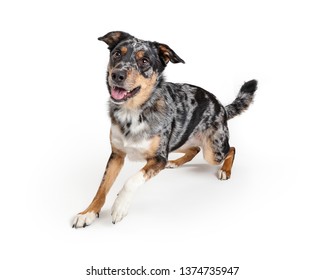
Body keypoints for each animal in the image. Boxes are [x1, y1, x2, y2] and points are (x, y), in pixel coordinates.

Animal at [72, 30, 256, 228]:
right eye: (117, 54)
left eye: (144, 61)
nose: (117, 75)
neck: (133, 112)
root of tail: (221, 106)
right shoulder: (117, 155)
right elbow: (102, 188)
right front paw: (88, 213)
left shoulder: (158, 158)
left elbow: (131, 180)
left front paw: (120, 205)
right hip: (181, 140)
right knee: (194, 148)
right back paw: (176, 162)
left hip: (213, 151)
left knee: (231, 149)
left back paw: (225, 170)